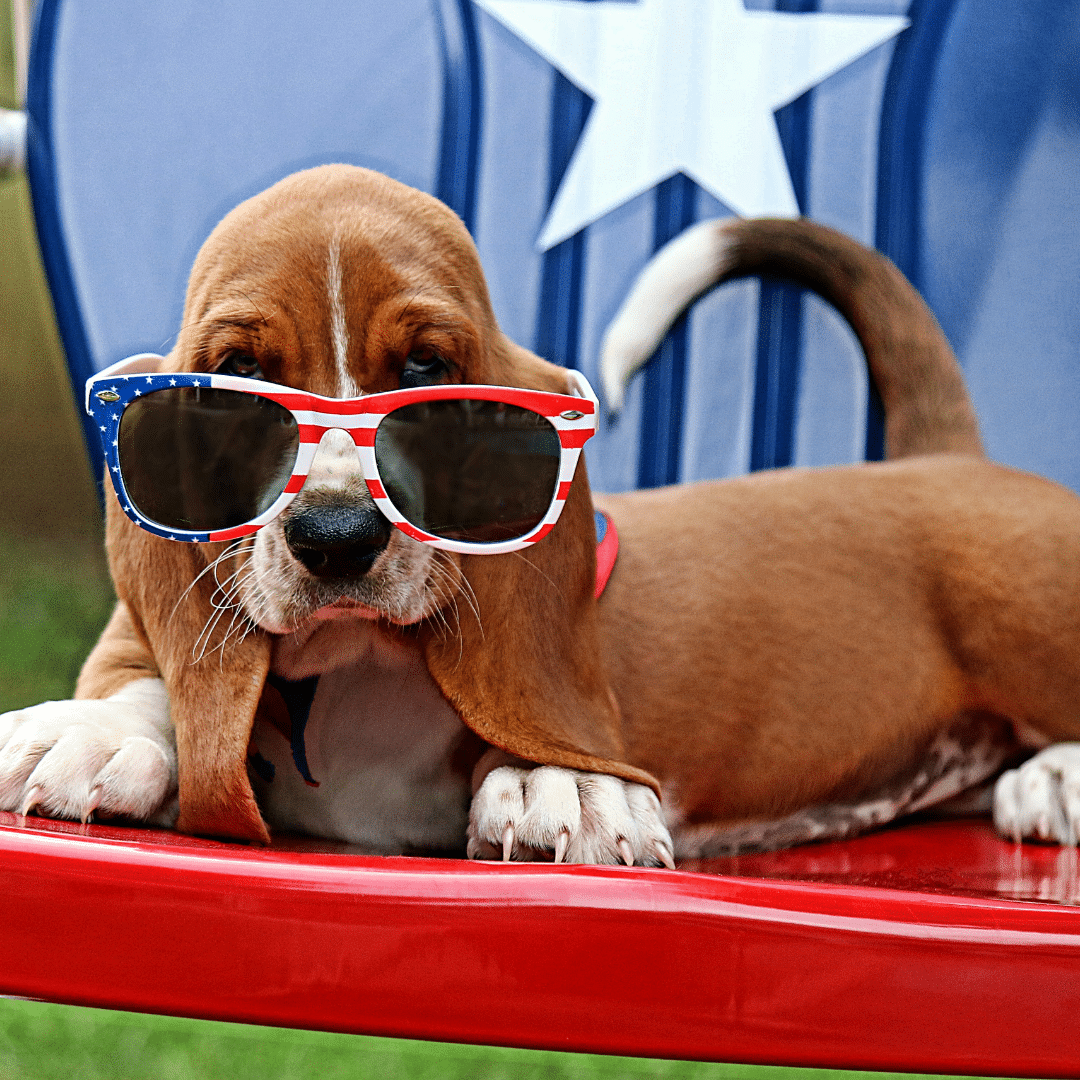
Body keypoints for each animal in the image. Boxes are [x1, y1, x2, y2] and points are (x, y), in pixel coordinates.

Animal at [2, 164, 1080, 864]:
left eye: (428, 368)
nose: (337, 539)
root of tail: (949, 455)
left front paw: (561, 779)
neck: (353, 675)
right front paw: (95, 730)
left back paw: (1057, 776)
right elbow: (152, 679)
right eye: (237, 375)